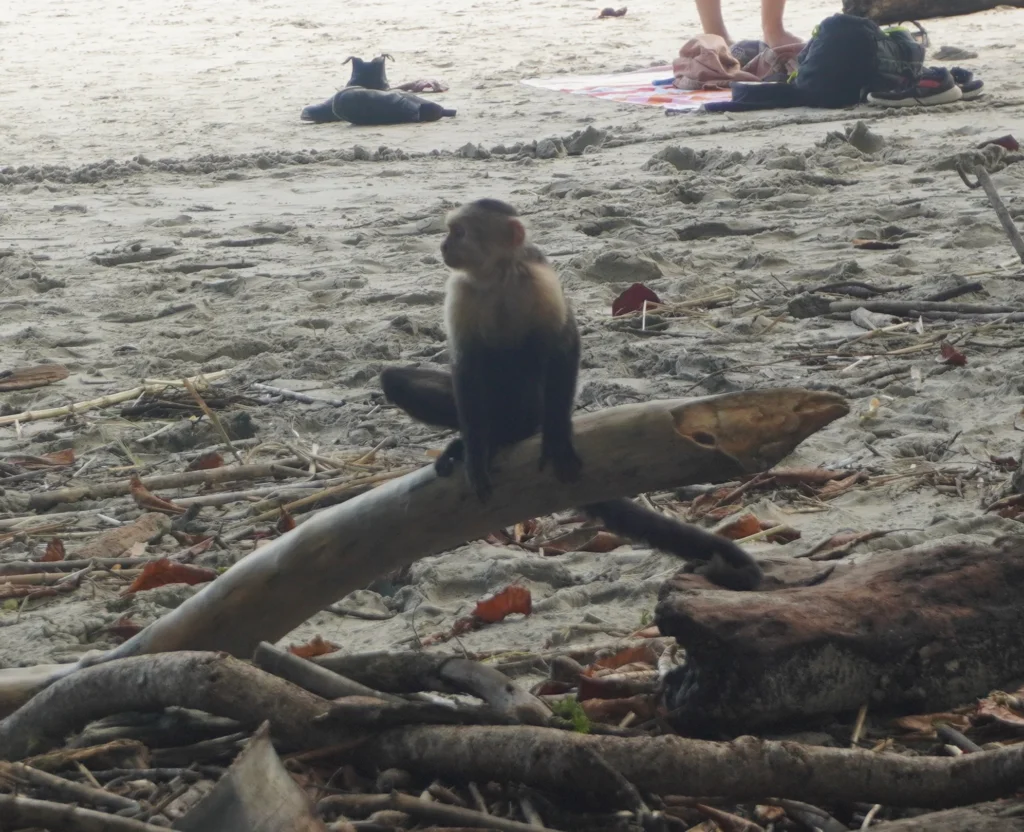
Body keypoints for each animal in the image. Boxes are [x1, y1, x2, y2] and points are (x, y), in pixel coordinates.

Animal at [378, 197, 761, 590]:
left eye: (459, 233)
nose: (444, 245)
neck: (497, 277)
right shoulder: (461, 290)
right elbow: (466, 367)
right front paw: (475, 451)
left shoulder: (539, 279)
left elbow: (563, 346)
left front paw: (557, 437)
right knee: (402, 380)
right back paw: (480, 441)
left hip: (530, 410)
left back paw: (511, 434)